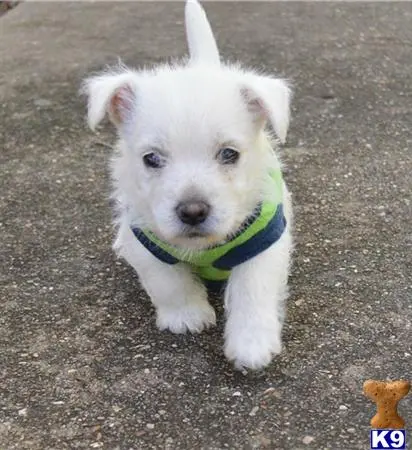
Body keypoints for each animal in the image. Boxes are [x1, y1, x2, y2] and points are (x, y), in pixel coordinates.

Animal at [83, 0, 292, 370]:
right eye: (151, 158)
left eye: (229, 154)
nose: (193, 211)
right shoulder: (145, 239)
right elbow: (167, 281)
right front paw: (187, 316)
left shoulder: (265, 241)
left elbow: (252, 288)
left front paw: (252, 343)